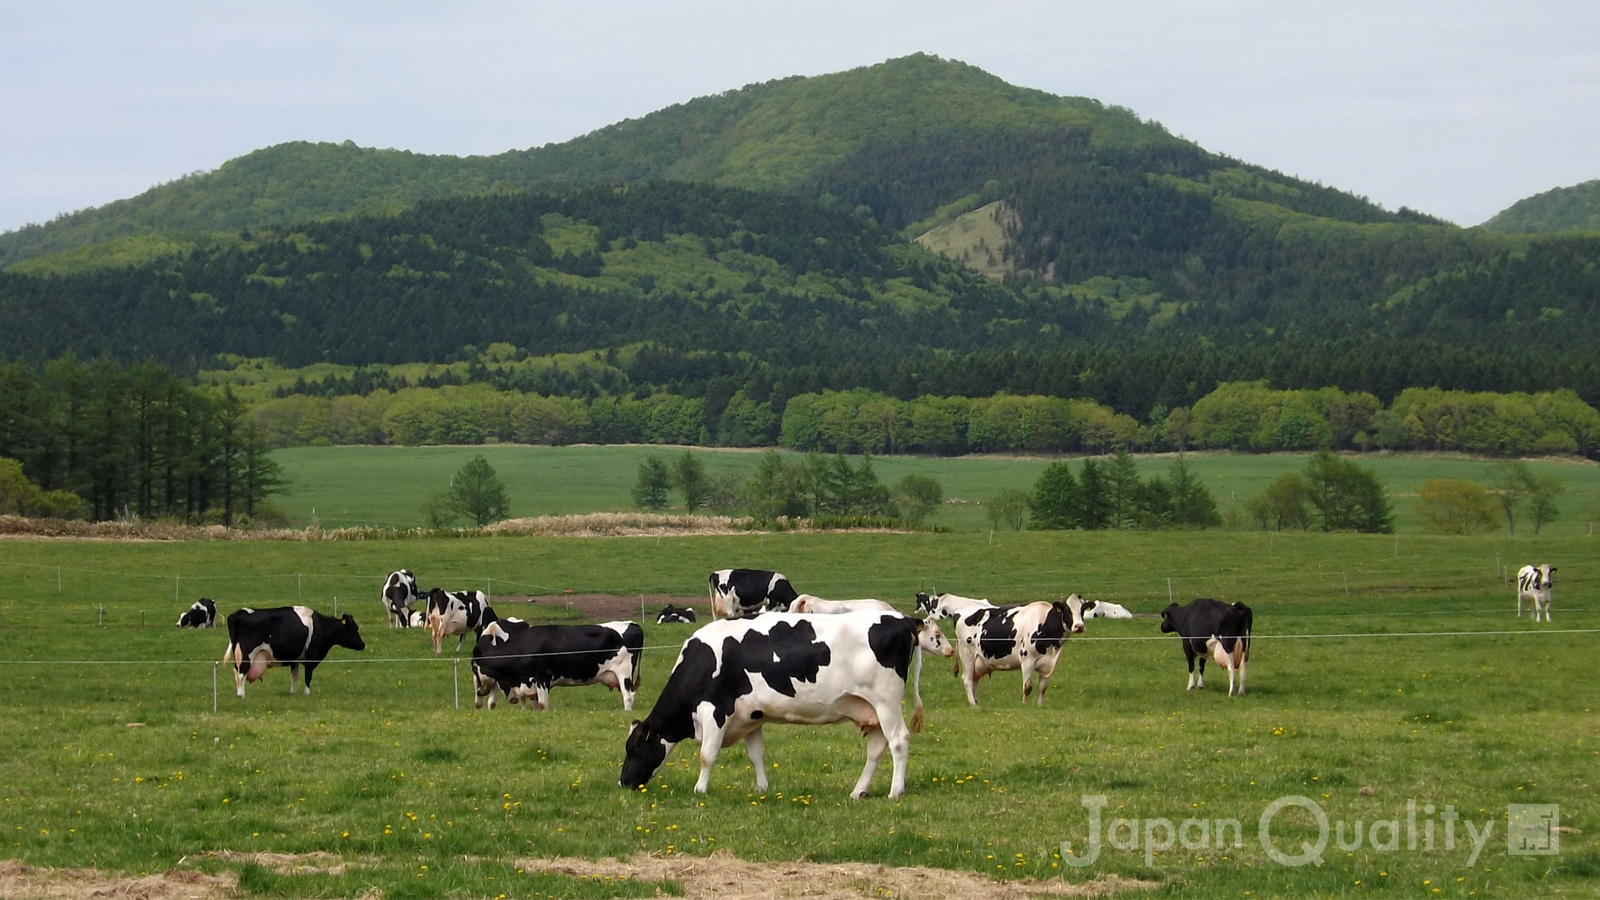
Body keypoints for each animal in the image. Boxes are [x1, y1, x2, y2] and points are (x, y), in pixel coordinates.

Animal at [222, 605, 366, 698]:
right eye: (354, 629)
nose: (363, 645)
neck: (321, 627)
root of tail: (241, 612)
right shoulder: (312, 656)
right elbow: (308, 675)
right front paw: (307, 693)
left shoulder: (295, 659)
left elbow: (294, 675)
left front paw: (293, 692)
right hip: (249, 653)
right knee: (242, 672)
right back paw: (241, 695)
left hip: (238, 652)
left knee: (236, 670)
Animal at [470, 614, 646, 707]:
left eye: (474, 667)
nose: (479, 692)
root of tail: (633, 624)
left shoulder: (542, 677)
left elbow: (543, 703)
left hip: (624, 672)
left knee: (628, 695)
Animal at [617, 608, 947, 791]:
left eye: (633, 749)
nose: (623, 783)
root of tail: (903, 619)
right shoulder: (751, 716)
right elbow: (756, 755)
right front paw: (762, 789)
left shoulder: (715, 711)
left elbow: (706, 755)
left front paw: (700, 790)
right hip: (871, 710)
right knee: (877, 749)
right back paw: (858, 791)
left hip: (886, 702)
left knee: (899, 741)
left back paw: (896, 791)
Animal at [947, 592, 1100, 704]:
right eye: (1067, 611)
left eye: (1082, 610)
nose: (1079, 626)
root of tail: (960, 610)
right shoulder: (1027, 660)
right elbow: (1028, 687)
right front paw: (1024, 705)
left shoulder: (1049, 663)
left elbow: (1042, 688)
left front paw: (1039, 706)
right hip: (967, 654)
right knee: (967, 680)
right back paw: (974, 705)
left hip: (978, 661)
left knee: (974, 681)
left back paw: (976, 702)